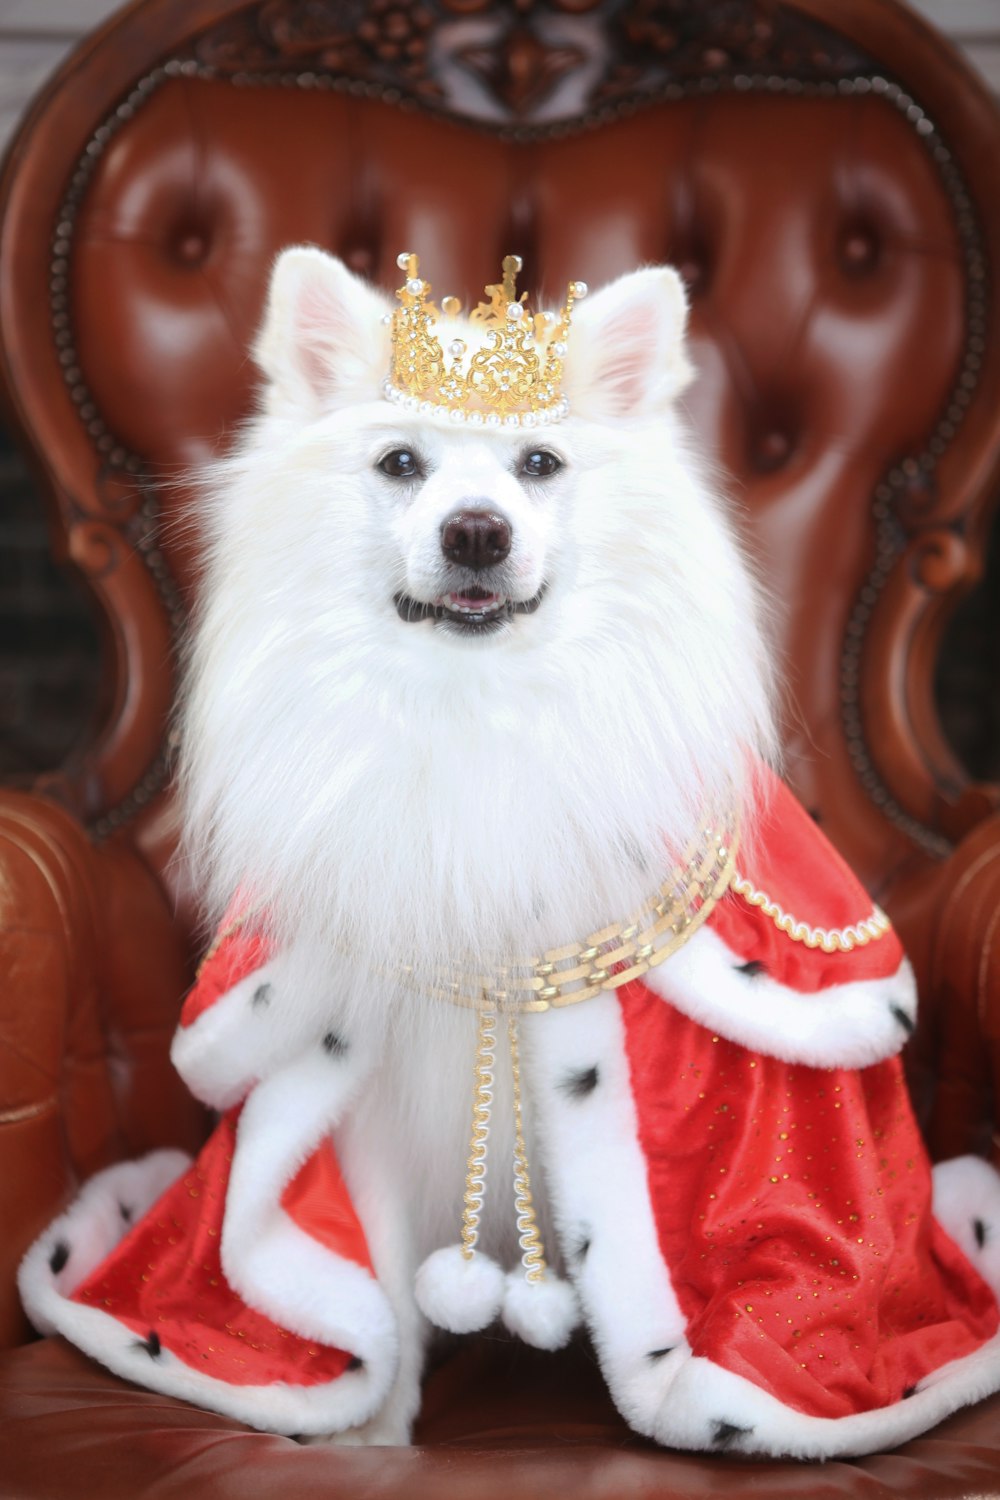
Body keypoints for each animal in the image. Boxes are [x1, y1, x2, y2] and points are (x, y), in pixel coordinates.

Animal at [21, 246, 1000, 1452]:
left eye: (540, 465)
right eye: (400, 464)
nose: (477, 530)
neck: (475, 710)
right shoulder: (372, 1106)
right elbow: (389, 1303)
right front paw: (375, 1442)